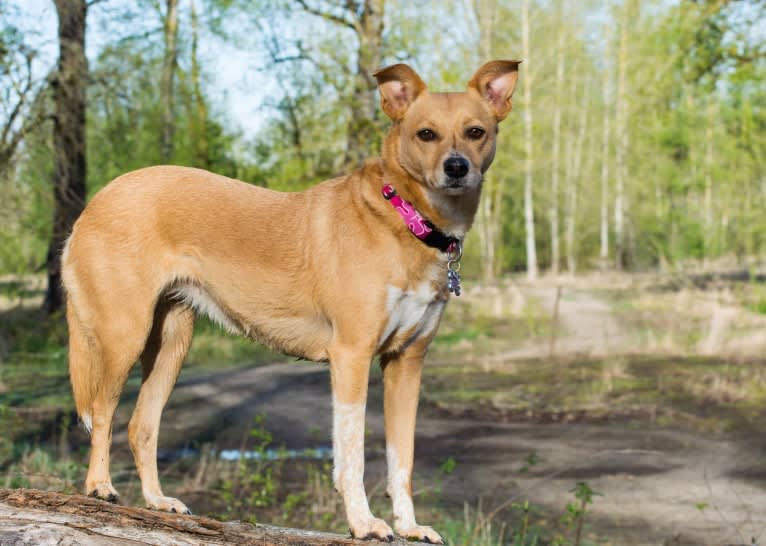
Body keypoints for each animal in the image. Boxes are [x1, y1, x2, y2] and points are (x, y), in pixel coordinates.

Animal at [64, 59, 520, 540]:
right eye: (426, 134)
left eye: (475, 132)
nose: (457, 168)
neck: (405, 218)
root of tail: (94, 204)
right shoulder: (352, 356)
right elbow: (352, 455)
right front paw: (364, 523)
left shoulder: (406, 365)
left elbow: (403, 459)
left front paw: (410, 527)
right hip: (123, 335)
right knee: (102, 412)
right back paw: (99, 487)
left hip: (172, 343)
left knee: (141, 426)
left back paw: (157, 501)